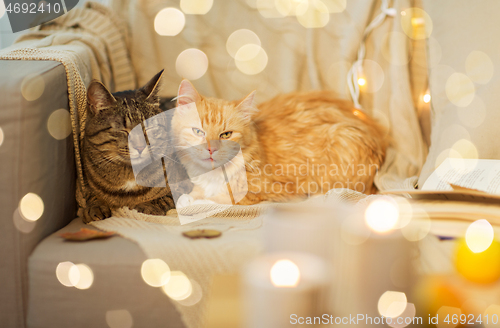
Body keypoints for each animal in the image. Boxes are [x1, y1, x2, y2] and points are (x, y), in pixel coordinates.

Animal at [82, 69, 176, 223]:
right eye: (123, 130)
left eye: (148, 128)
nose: (140, 147)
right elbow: (91, 196)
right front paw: (95, 208)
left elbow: (163, 198)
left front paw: (145, 207)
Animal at [172, 79, 386, 205]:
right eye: (198, 131)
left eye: (226, 135)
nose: (211, 149)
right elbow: (195, 193)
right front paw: (189, 198)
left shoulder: (260, 192)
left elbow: (215, 200)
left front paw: (194, 202)